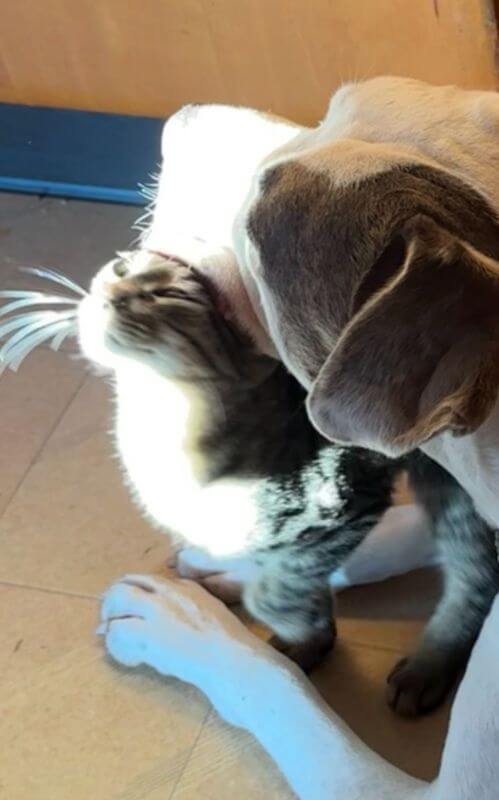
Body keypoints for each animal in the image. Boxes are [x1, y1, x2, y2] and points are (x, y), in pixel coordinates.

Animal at [78, 248, 499, 716]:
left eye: (170, 294)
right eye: (120, 269)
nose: (112, 293)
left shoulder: (349, 498)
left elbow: (284, 590)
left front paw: (299, 633)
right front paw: (309, 634)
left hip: (453, 481)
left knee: (477, 571)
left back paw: (430, 662)